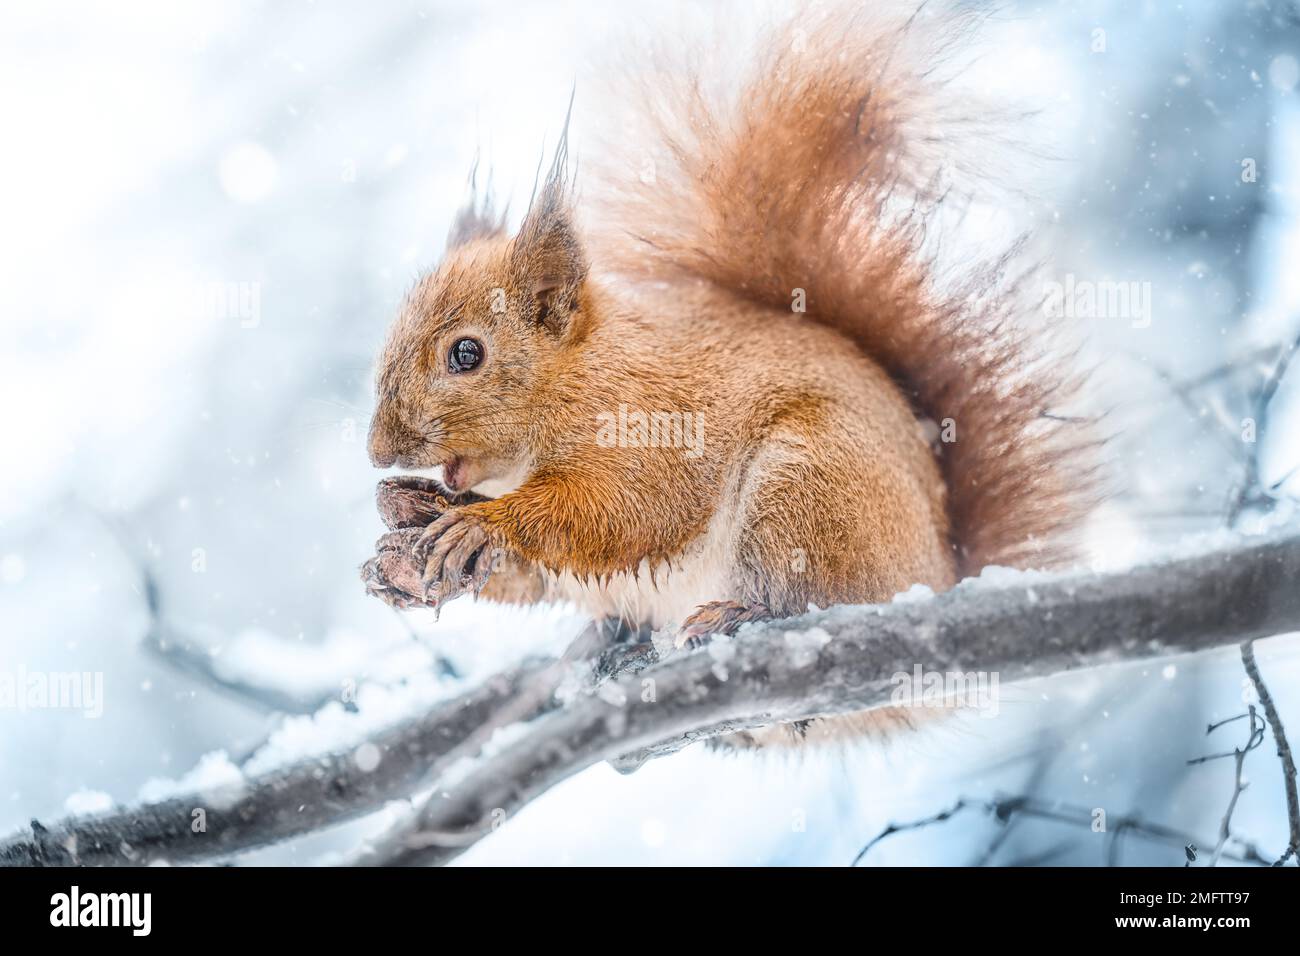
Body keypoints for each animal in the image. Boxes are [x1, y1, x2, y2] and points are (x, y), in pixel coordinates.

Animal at [362, 5, 1096, 747]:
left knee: (813, 597)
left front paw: (486, 524)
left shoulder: (655, 428)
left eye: (466, 354)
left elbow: (621, 513)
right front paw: (405, 535)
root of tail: (940, 577)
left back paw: (745, 617)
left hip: (806, 491)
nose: (378, 452)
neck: (581, 375)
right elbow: (540, 580)